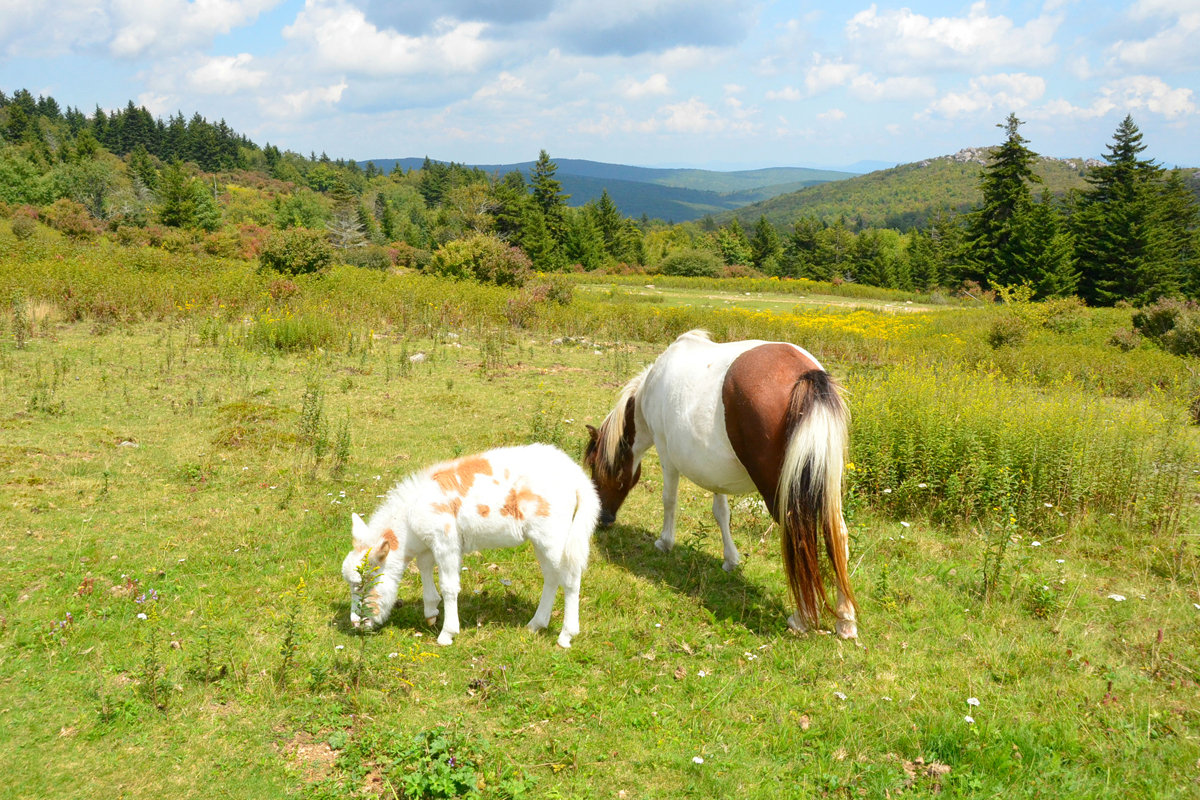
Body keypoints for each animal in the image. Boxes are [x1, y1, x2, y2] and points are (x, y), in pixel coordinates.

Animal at [585, 331, 859, 638]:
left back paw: (801, 617)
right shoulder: (715, 471)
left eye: (594, 466)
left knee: (800, 536)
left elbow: (669, 500)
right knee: (836, 534)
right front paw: (730, 559)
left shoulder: (666, 455)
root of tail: (806, 374)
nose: (603, 519)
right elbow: (721, 513)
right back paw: (845, 619)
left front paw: (665, 542)